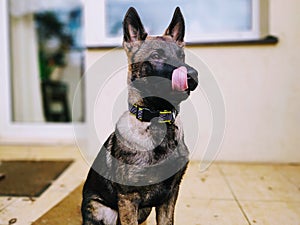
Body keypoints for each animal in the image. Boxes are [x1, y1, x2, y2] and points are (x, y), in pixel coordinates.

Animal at [82, 7, 199, 225]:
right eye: (156, 55)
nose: (192, 76)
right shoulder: (128, 199)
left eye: (181, 55)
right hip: (102, 210)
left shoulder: (170, 196)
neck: (157, 119)